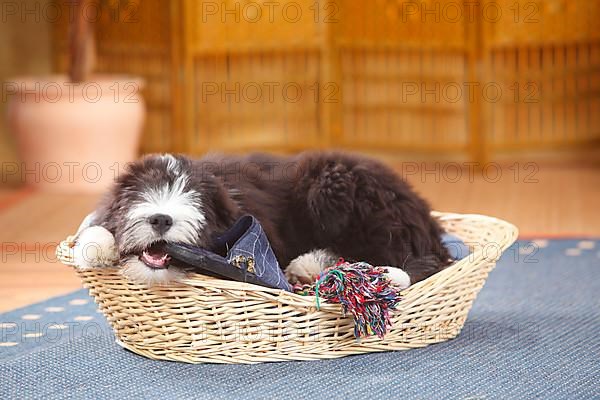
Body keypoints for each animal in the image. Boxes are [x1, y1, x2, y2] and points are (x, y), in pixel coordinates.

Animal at [74, 152, 450, 288]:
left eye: (195, 200)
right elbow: (100, 224)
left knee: (386, 258)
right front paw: (92, 247)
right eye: (138, 195)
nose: (161, 219)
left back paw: (310, 267)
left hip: (332, 186)